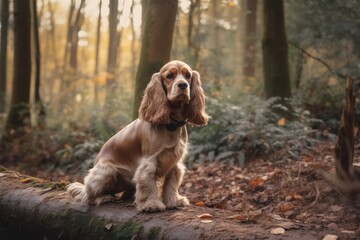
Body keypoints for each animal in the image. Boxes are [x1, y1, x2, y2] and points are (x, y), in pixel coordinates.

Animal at [66, 60, 210, 212]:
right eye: (169, 76)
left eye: (188, 75)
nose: (183, 85)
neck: (171, 124)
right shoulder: (149, 161)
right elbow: (148, 183)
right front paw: (151, 203)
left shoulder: (175, 162)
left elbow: (171, 183)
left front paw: (174, 200)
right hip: (107, 170)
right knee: (87, 196)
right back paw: (103, 197)